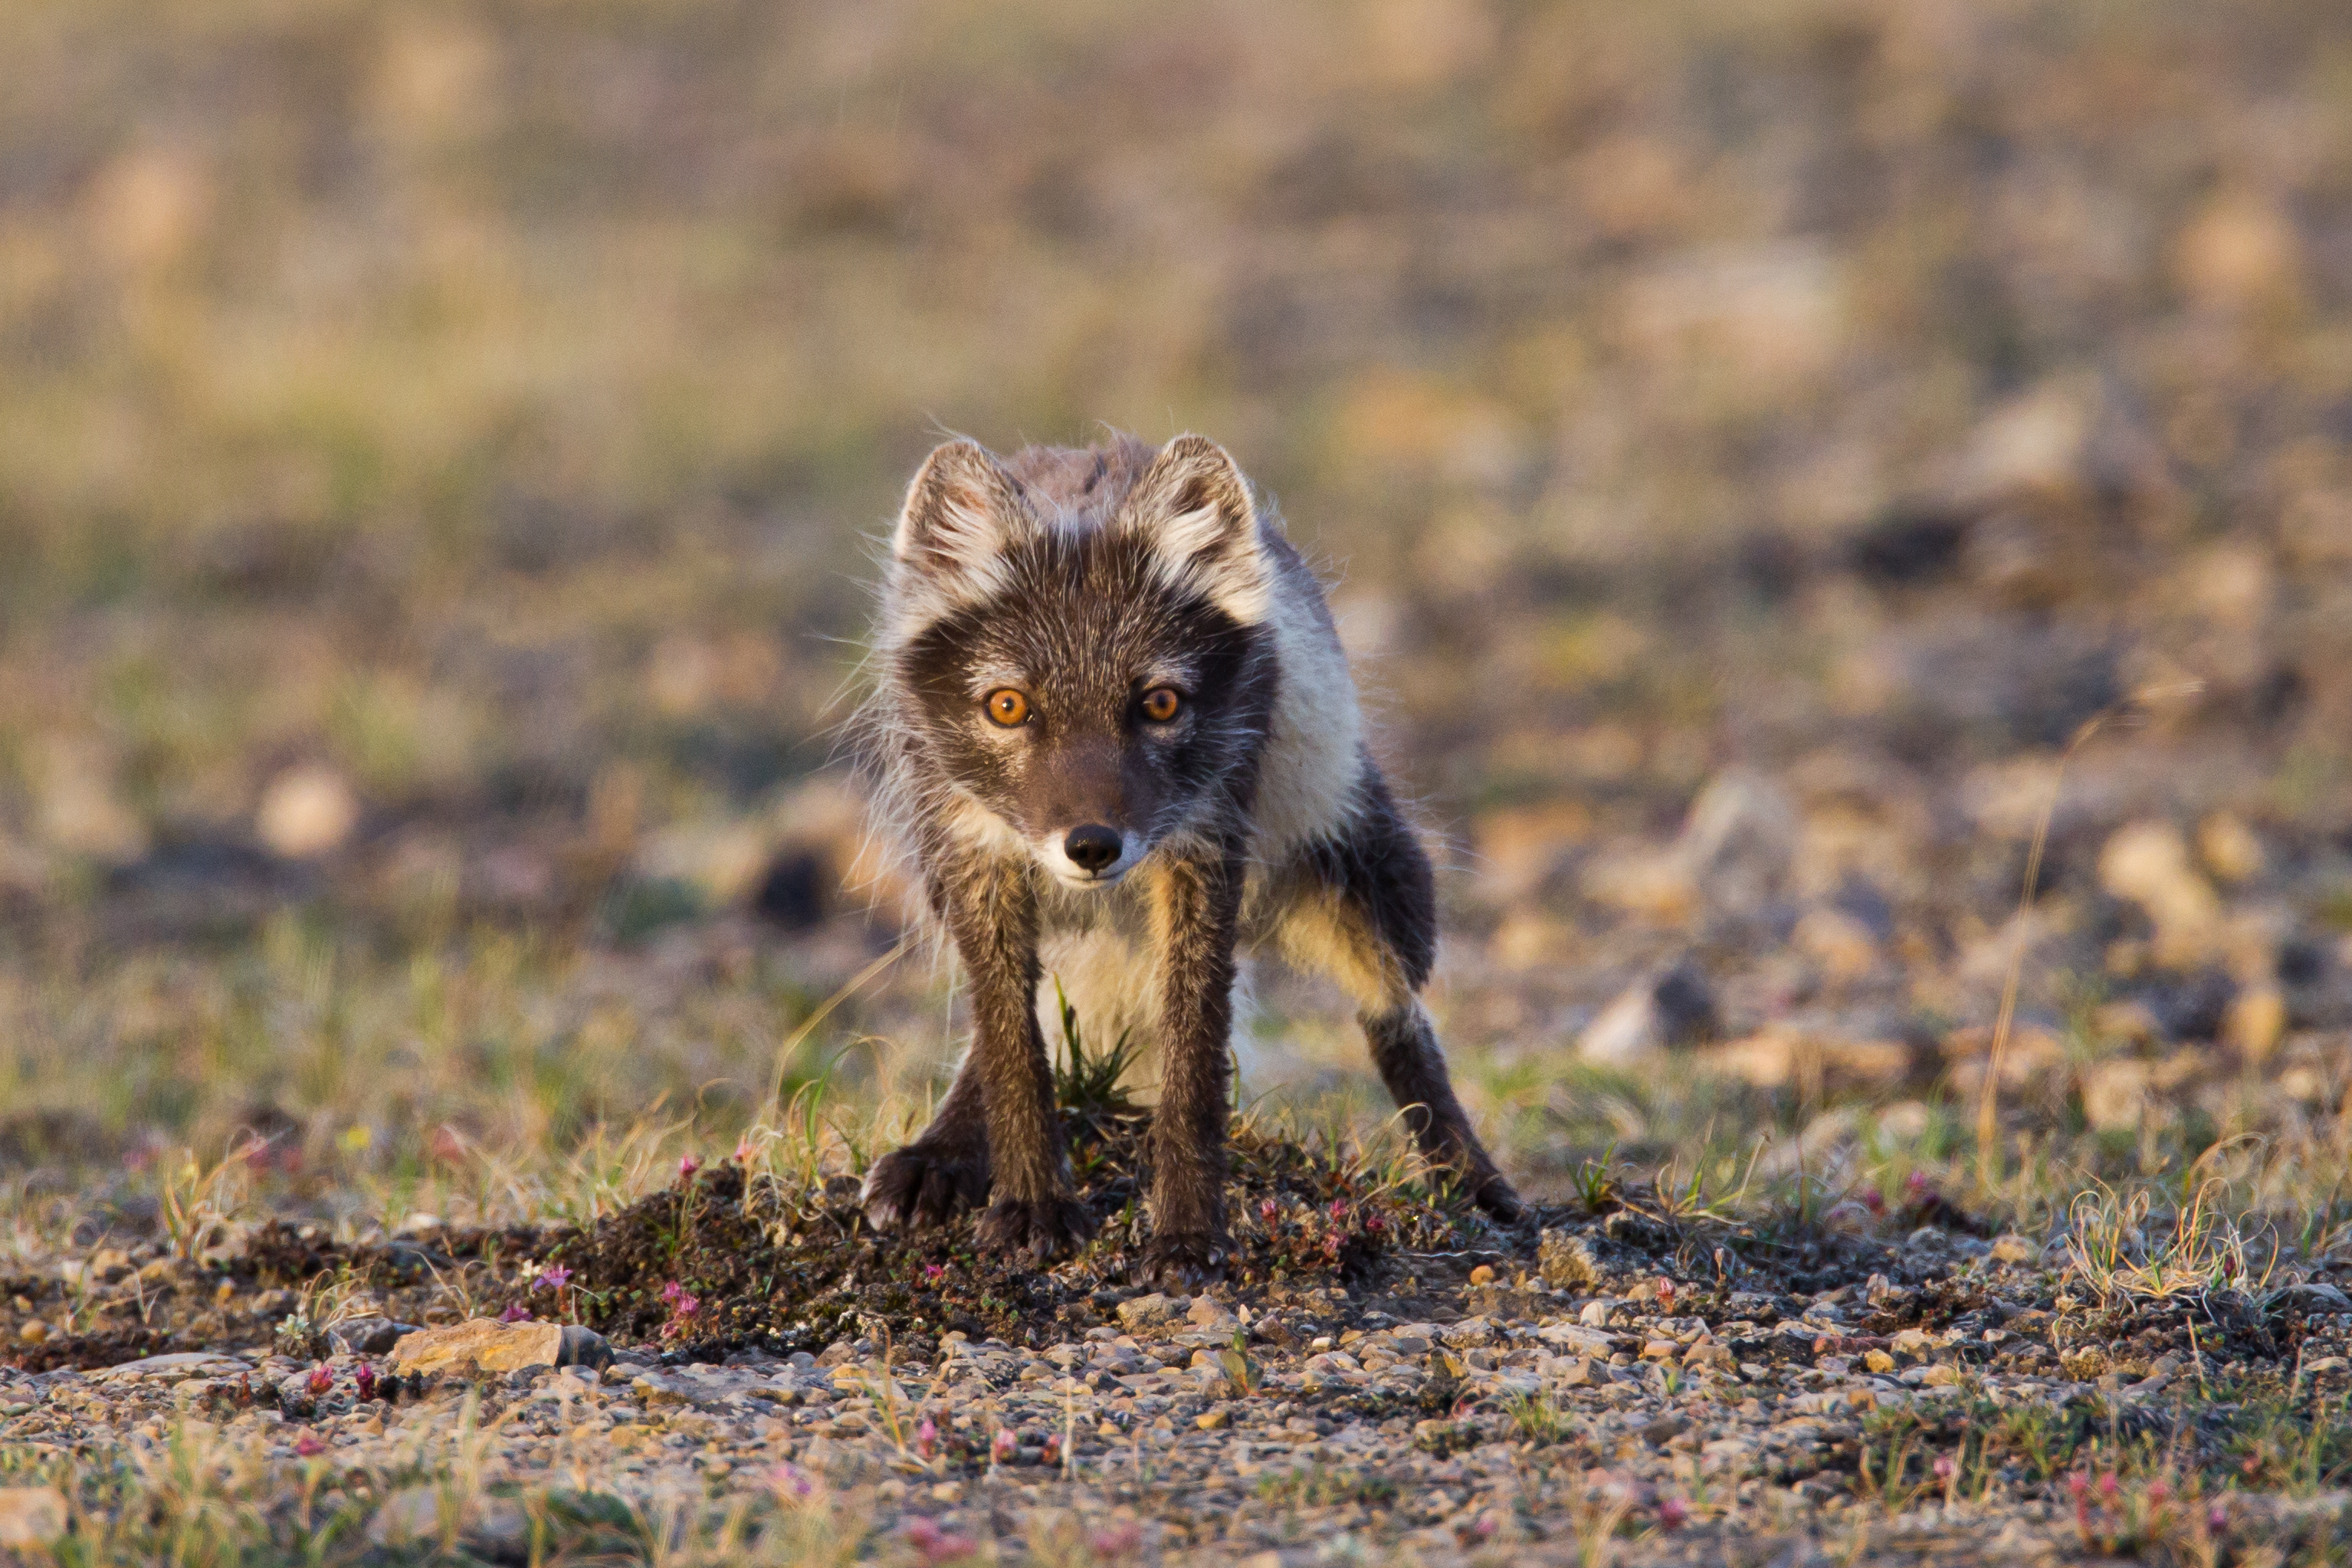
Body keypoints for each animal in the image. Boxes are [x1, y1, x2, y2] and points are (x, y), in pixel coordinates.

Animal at [856, 432, 1514, 1288]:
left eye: (1160, 703)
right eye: (1007, 706)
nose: (1092, 846)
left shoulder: (1204, 848)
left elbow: (1194, 1059)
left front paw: (1187, 1232)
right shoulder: (971, 852)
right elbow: (1008, 1043)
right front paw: (1031, 1206)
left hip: (1371, 884)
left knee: (1398, 1020)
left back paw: (1472, 1180)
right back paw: (938, 1153)